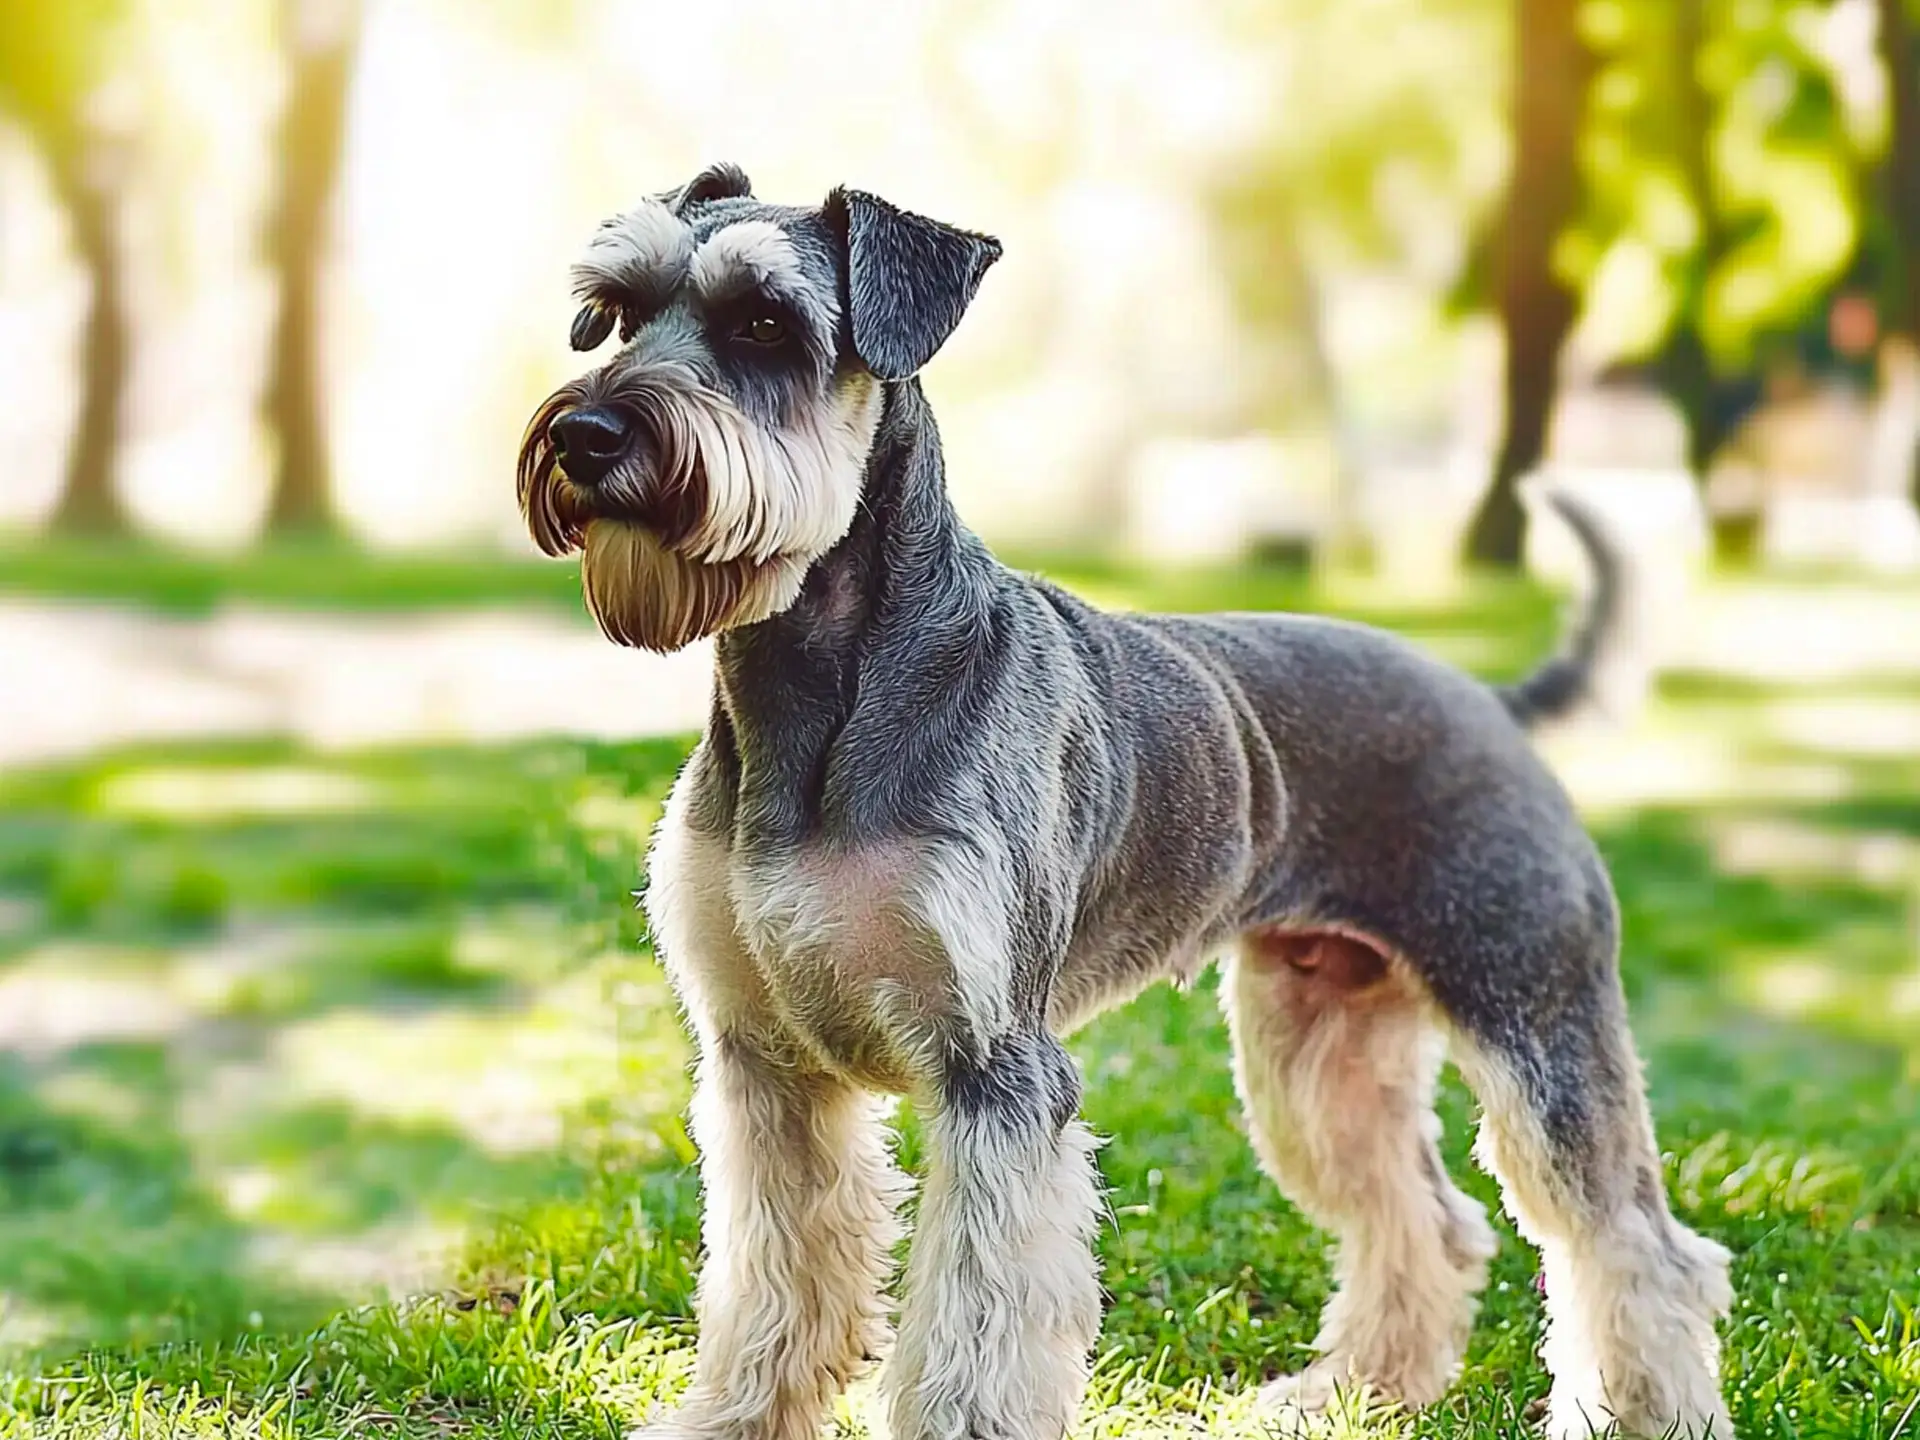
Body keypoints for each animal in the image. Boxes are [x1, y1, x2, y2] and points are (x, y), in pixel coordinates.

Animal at [514, 163, 1743, 1440]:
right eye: (614, 310)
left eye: (764, 322)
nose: (586, 434)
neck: (813, 689)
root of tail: (1489, 700)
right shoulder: (764, 1070)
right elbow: (771, 1283)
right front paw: (732, 1419)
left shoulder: (995, 1076)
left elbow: (973, 1328)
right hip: (1317, 1052)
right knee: (1425, 1218)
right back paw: (1353, 1388)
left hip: (1536, 1022)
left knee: (1636, 1243)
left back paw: (1642, 1410)